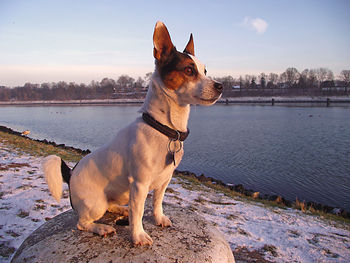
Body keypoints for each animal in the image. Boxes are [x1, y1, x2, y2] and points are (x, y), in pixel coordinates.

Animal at [43, 21, 221, 248]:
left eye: (205, 70)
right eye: (189, 70)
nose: (220, 86)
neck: (165, 129)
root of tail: (70, 174)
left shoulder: (164, 181)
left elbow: (157, 203)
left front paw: (159, 218)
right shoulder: (139, 184)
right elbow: (138, 213)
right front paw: (138, 235)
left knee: (110, 207)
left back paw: (121, 209)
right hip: (95, 204)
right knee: (82, 223)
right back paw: (101, 228)